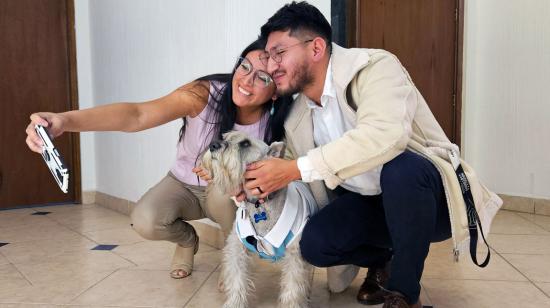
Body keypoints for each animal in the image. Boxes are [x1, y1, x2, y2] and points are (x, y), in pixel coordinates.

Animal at [202, 131, 320, 308]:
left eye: (245, 143)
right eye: (225, 137)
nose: (213, 145)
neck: (259, 204)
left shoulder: (295, 255)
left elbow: (293, 286)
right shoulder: (236, 247)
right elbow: (237, 278)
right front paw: (234, 302)